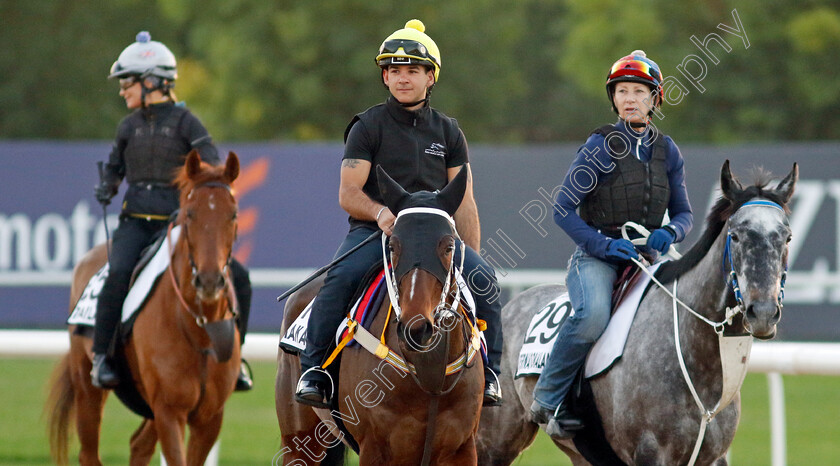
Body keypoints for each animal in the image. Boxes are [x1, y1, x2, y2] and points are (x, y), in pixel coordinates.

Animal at [48, 151, 241, 464]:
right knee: (89, 453)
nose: (210, 280)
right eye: (190, 213)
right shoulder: (169, 411)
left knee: (139, 445)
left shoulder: (209, 418)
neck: (199, 328)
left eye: (233, 214)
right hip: (86, 384)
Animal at [278, 166, 486, 464]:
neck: (429, 374)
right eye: (393, 246)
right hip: (299, 441)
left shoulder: (462, 448)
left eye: (448, 246)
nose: (416, 328)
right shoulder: (376, 447)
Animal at [476, 161, 796, 466]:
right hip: (493, 442)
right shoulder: (650, 453)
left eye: (787, 237)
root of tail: (511, 305)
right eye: (736, 236)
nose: (763, 313)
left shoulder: (714, 457)